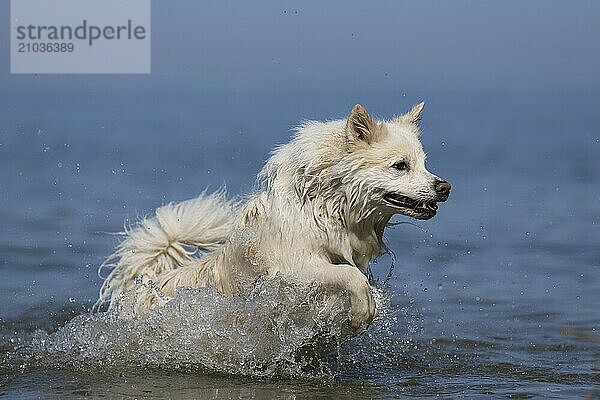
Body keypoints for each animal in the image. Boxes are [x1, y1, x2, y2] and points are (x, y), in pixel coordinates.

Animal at [95, 102, 450, 332]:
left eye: (425, 164)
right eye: (400, 166)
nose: (445, 187)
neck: (326, 205)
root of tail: (142, 285)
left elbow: (357, 279)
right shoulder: (293, 269)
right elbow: (352, 278)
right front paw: (362, 313)